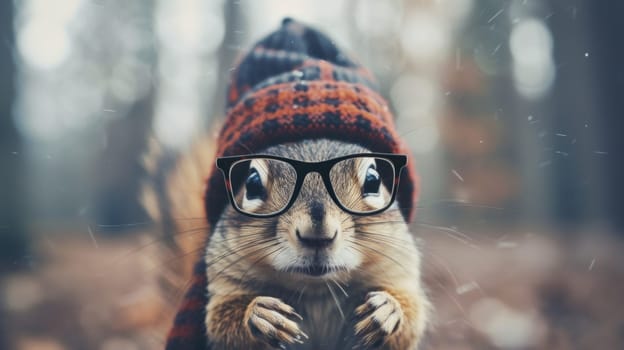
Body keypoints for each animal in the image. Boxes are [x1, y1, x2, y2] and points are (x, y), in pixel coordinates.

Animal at [149, 18, 428, 350]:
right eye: (252, 183)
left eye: (374, 180)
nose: (318, 235)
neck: (318, 290)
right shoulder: (223, 282)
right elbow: (221, 320)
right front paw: (259, 315)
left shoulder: (400, 270)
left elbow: (412, 315)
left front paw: (388, 309)